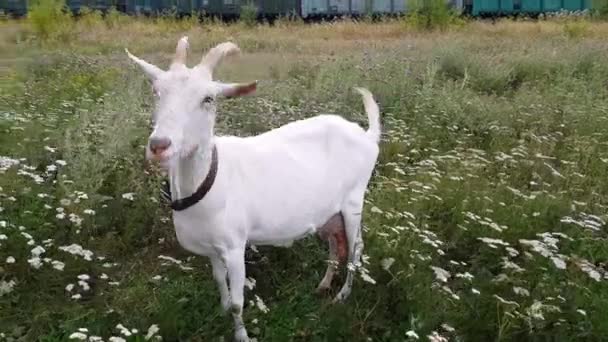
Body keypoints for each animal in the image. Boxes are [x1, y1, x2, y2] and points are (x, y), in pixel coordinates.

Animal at [125, 37, 380, 342]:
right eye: (157, 91)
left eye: (208, 99)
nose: (159, 145)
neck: (210, 179)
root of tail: (367, 135)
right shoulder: (212, 249)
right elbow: (218, 281)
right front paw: (221, 309)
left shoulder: (235, 247)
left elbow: (238, 302)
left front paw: (241, 334)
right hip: (329, 213)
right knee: (335, 244)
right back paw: (323, 285)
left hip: (353, 202)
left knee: (355, 248)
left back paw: (342, 295)